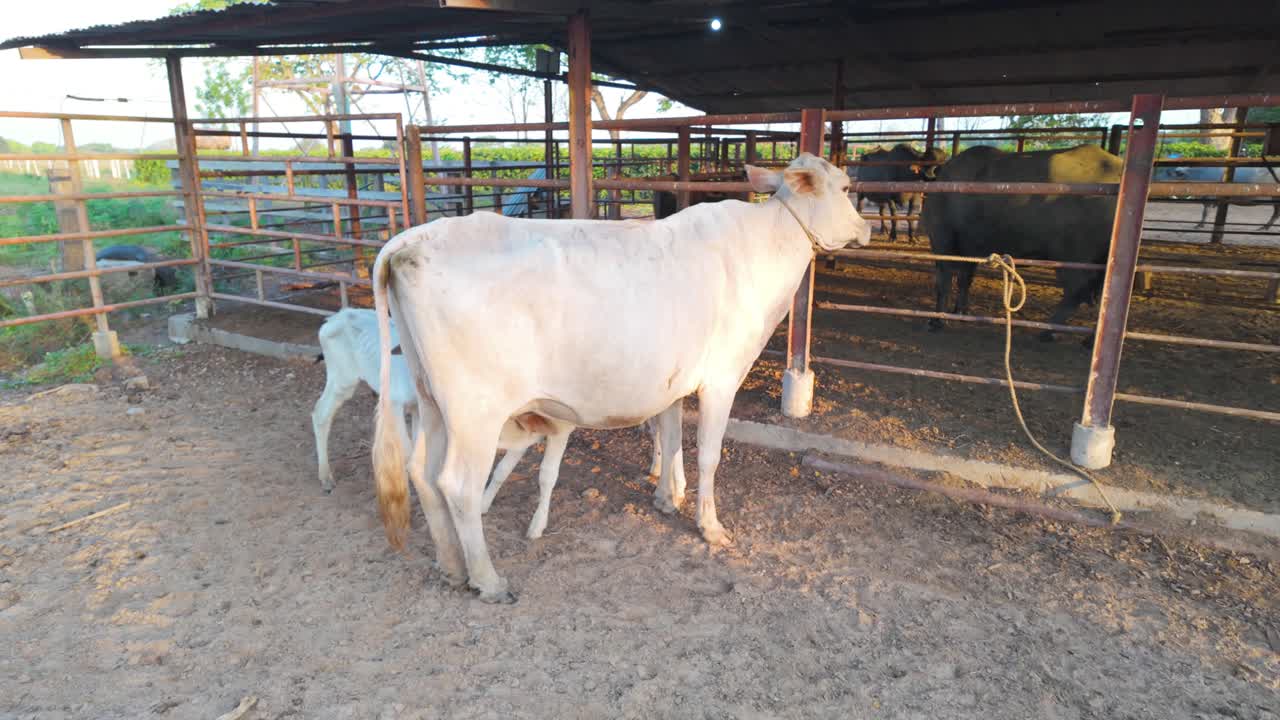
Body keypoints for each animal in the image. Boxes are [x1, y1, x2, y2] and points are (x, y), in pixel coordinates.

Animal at [370, 152, 870, 602]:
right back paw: (487, 580)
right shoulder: (722, 378)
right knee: (457, 485)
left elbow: (671, 438)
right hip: (476, 410)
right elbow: (707, 455)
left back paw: (452, 568)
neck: (767, 247)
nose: (868, 227)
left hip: (433, 399)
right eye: (846, 186)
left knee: (422, 473)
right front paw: (710, 525)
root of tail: (414, 239)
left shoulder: (673, 381)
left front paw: (667, 498)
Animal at [922, 144, 1124, 341]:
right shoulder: (971, 248)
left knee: (1077, 290)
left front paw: (937, 320)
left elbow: (944, 282)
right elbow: (965, 280)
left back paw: (1048, 332)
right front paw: (961, 312)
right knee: (1103, 296)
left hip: (1072, 255)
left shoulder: (942, 241)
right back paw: (1089, 340)